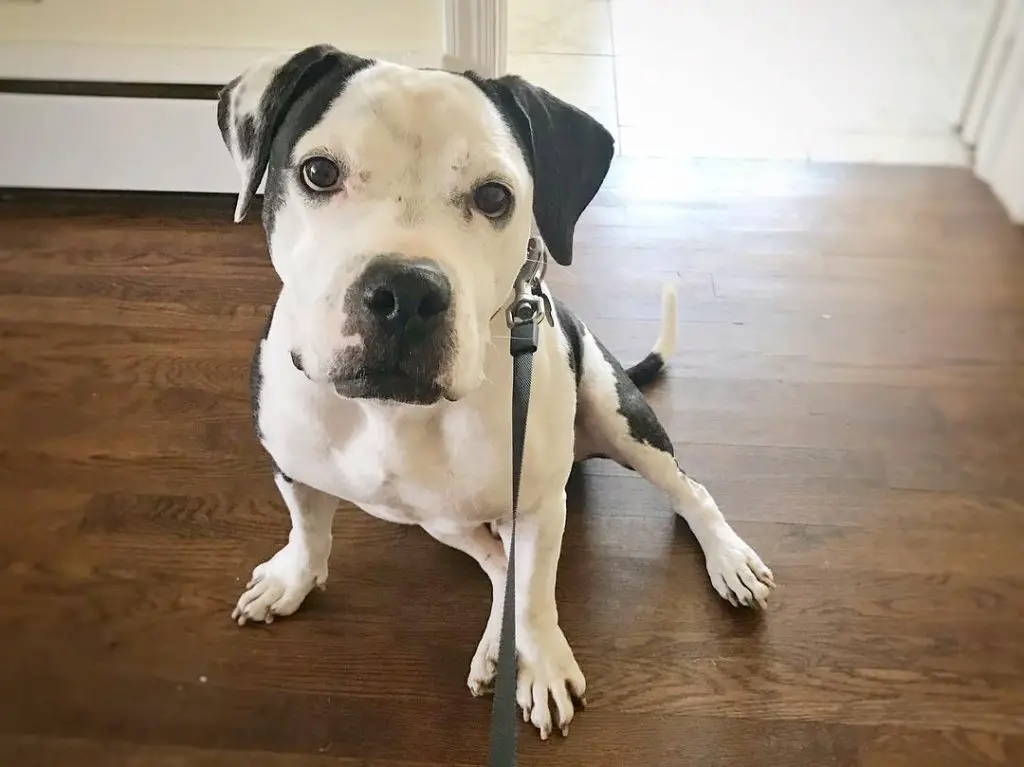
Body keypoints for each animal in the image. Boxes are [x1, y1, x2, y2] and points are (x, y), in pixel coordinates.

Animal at [218, 44, 774, 737]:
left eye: (492, 196)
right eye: (318, 172)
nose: (405, 292)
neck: (390, 414)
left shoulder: (535, 504)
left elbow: (535, 595)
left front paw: (541, 665)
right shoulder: (292, 464)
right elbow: (308, 528)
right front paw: (292, 577)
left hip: (616, 414)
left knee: (684, 493)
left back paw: (728, 558)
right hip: (441, 516)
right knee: (496, 559)